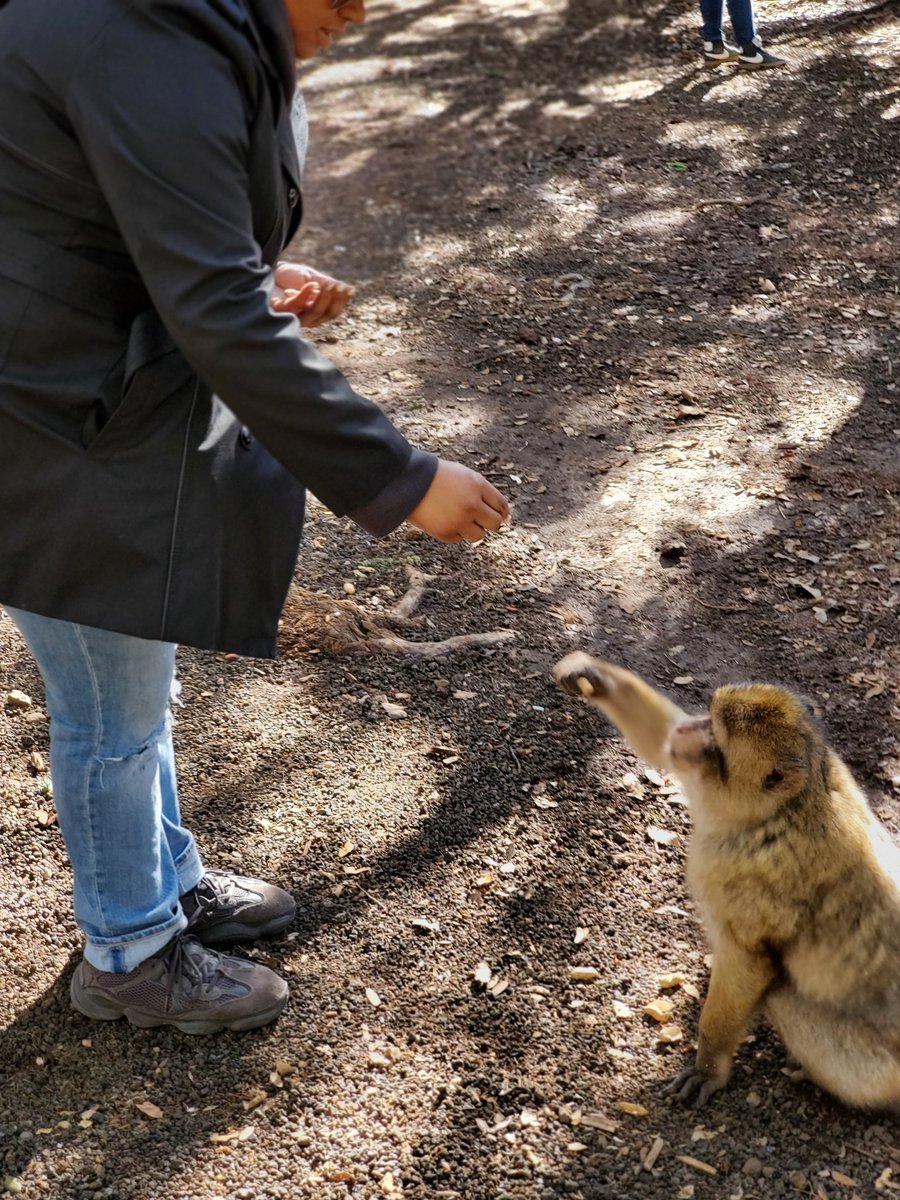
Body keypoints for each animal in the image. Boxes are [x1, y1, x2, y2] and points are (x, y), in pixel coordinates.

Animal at [553, 650, 900, 1110]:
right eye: (706, 718)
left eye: (714, 738)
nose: (689, 731)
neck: (785, 808)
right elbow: (659, 741)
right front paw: (592, 675)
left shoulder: (751, 885)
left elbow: (750, 963)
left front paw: (709, 1065)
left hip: (878, 1073)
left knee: (781, 994)